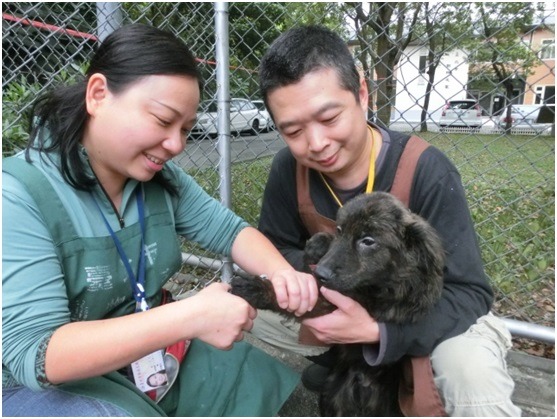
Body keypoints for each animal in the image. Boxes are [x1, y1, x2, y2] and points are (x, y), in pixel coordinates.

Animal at [229, 193, 444, 416]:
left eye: (368, 241)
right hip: (333, 397)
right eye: (340, 230)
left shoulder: (340, 301)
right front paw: (318, 244)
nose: (320, 273)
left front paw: (258, 289)